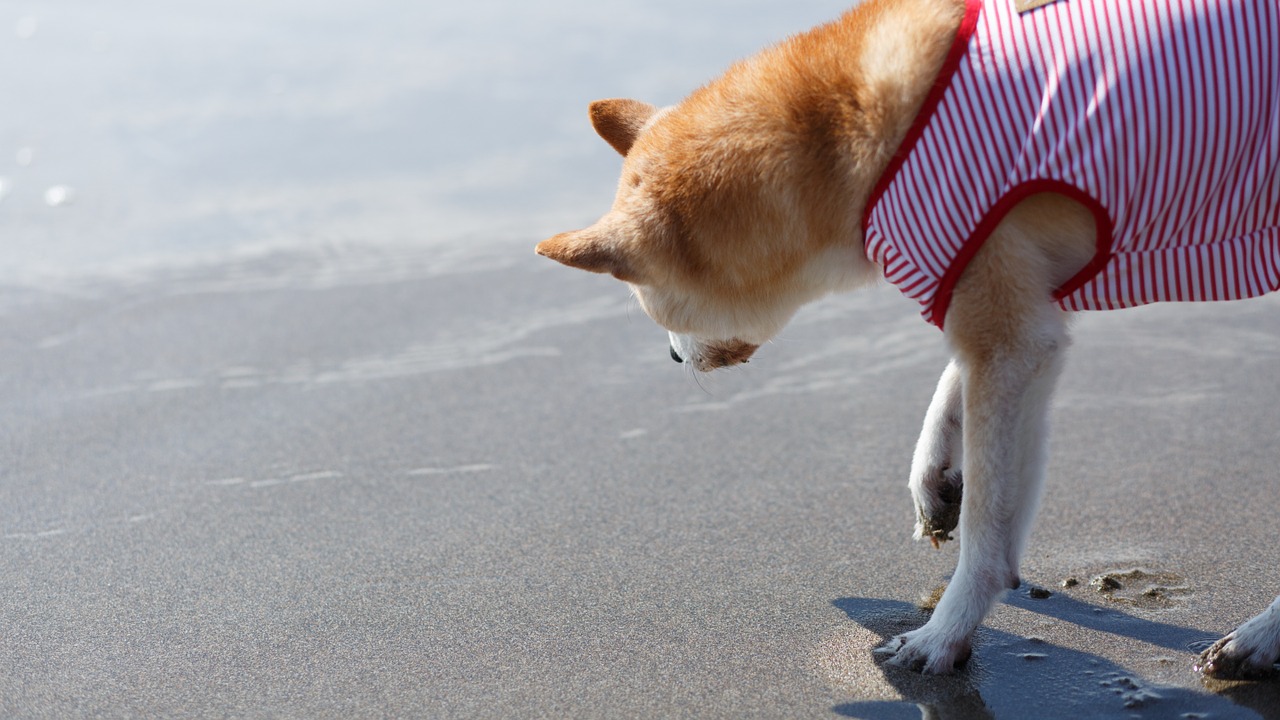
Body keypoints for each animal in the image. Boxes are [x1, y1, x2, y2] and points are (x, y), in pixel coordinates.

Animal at [532, 0, 1280, 676]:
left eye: (654, 309)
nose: (668, 354)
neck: (848, 134)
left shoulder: (1006, 332)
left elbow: (987, 534)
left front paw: (945, 634)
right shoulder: (1020, 318)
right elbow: (963, 414)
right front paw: (934, 478)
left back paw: (1260, 638)